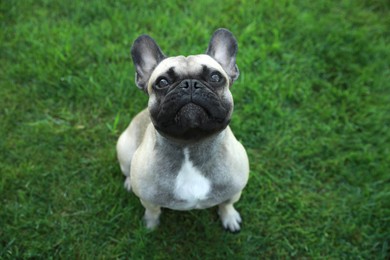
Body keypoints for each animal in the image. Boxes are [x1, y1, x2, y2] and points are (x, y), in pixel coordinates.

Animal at [116, 28, 250, 232]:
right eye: (162, 82)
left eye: (215, 77)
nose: (190, 84)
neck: (190, 144)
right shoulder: (148, 199)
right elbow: (153, 210)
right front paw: (151, 224)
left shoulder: (235, 191)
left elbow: (227, 204)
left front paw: (229, 217)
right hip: (124, 149)